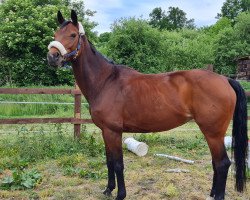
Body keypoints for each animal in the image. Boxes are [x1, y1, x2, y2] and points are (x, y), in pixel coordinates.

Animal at [47, 10, 248, 200]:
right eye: (55, 34)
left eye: (73, 35)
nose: (52, 57)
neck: (105, 81)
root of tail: (225, 79)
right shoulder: (105, 131)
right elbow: (109, 161)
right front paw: (108, 189)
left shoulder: (113, 132)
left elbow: (118, 164)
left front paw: (120, 194)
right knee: (215, 162)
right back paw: (212, 193)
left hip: (213, 132)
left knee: (222, 163)